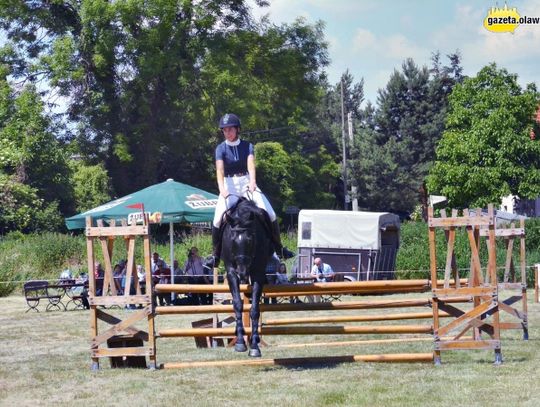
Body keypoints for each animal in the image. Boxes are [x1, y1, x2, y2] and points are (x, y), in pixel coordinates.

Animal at [219, 198, 274, 356]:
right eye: (232, 240)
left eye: (250, 239)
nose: (242, 271)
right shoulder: (231, 272)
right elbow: (237, 304)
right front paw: (239, 342)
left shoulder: (258, 273)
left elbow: (254, 309)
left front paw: (254, 345)